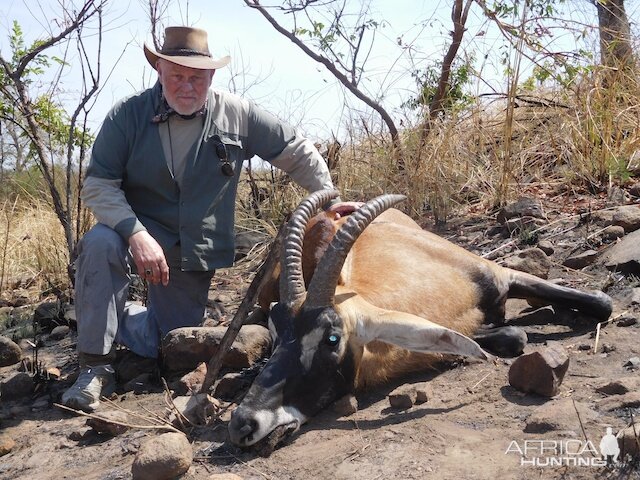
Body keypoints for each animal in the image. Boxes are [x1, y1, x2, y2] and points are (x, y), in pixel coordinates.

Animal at [228, 189, 612, 448]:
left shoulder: (501, 275)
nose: (243, 423)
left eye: (331, 338)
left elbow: (603, 303)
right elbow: (507, 335)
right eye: (276, 335)